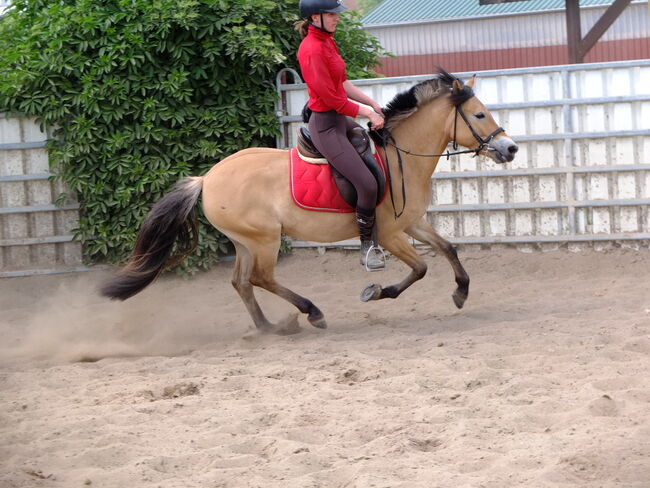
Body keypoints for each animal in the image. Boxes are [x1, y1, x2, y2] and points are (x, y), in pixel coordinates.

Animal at [100, 70, 516, 334]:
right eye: (479, 114)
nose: (509, 148)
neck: (402, 155)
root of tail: (207, 178)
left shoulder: (411, 221)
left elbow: (447, 249)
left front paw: (461, 292)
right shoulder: (390, 232)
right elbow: (420, 268)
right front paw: (377, 291)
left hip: (244, 241)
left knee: (242, 282)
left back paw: (270, 327)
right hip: (264, 239)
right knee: (261, 278)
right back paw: (311, 313)